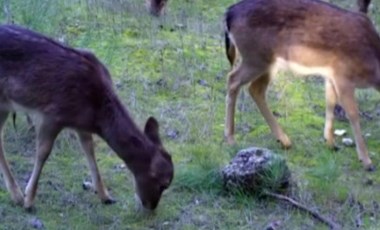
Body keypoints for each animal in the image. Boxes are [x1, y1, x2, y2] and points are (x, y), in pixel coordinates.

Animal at [0, 24, 174, 210]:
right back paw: (18, 196)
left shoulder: (81, 125)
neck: (97, 116)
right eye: (163, 183)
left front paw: (105, 196)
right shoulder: (52, 114)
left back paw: (16, 195)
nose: (151, 206)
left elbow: (89, 151)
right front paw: (29, 200)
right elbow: (43, 153)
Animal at [223, 0, 380, 171]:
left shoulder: (331, 75)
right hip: (255, 57)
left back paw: (284, 140)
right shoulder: (343, 75)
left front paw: (330, 143)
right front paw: (366, 161)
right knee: (233, 79)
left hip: (268, 62)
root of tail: (229, 14)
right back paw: (231, 139)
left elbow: (330, 103)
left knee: (255, 89)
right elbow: (353, 114)